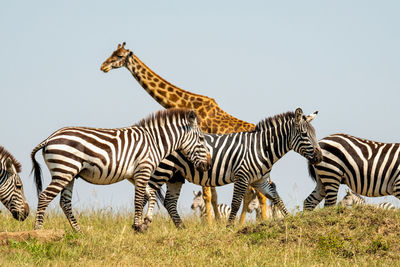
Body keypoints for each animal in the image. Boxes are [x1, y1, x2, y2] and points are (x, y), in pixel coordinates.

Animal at [30, 109, 212, 232]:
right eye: (201, 139)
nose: (209, 165)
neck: (154, 141)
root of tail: (50, 138)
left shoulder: (139, 174)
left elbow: (151, 195)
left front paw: (146, 222)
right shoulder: (143, 170)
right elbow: (139, 199)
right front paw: (137, 226)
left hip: (69, 174)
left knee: (65, 202)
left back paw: (78, 232)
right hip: (64, 170)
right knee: (45, 197)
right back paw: (38, 231)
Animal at [100, 42, 268, 224]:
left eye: (119, 56)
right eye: (112, 52)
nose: (103, 66)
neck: (189, 104)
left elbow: (208, 194)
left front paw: (210, 224)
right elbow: (213, 194)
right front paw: (216, 223)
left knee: (259, 195)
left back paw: (263, 221)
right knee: (252, 194)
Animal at [145, 108, 324, 227]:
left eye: (315, 134)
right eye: (304, 135)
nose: (320, 157)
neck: (262, 148)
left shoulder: (260, 181)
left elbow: (277, 199)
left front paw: (289, 220)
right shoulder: (242, 176)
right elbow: (236, 203)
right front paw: (230, 227)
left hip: (175, 176)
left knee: (169, 202)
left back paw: (181, 227)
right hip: (161, 171)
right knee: (147, 193)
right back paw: (142, 224)